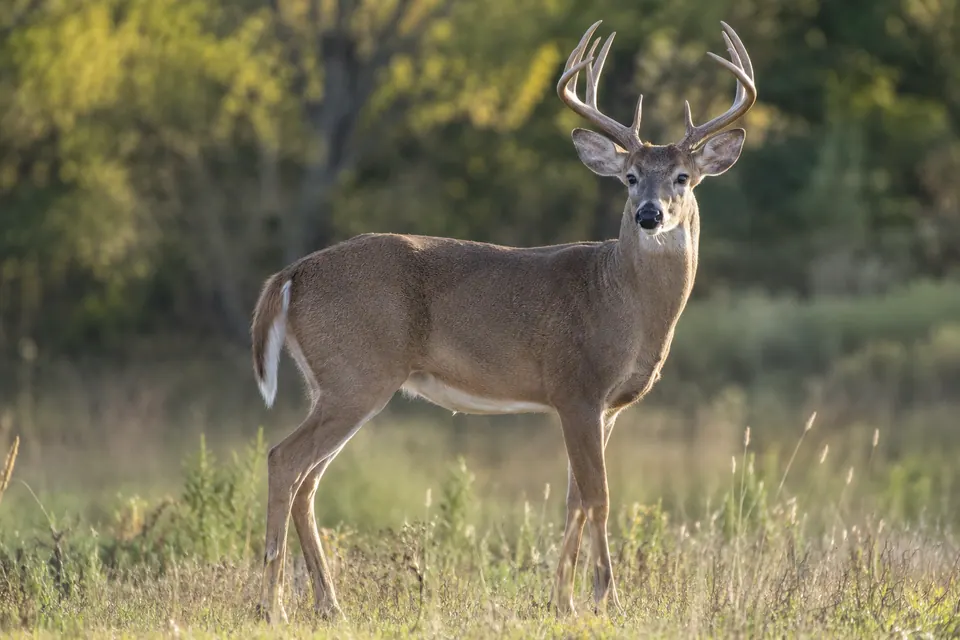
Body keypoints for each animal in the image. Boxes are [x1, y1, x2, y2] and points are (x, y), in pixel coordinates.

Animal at [250, 18, 756, 622]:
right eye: (630, 177)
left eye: (682, 176)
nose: (649, 215)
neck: (621, 301)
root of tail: (290, 274)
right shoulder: (576, 388)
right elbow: (599, 497)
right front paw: (606, 598)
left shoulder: (604, 407)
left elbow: (574, 500)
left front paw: (562, 600)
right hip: (357, 373)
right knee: (283, 459)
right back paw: (271, 607)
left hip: (333, 382)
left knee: (307, 480)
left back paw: (329, 605)